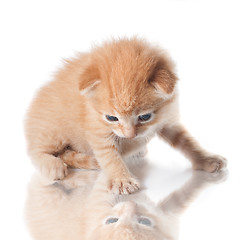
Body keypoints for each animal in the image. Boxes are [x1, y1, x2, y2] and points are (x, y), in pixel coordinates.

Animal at [24, 38, 227, 195]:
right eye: (112, 118)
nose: (130, 136)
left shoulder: (166, 120)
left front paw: (206, 160)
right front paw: (122, 180)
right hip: (51, 131)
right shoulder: (97, 130)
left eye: (144, 117)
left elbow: (187, 142)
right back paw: (54, 165)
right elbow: (110, 155)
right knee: (36, 150)